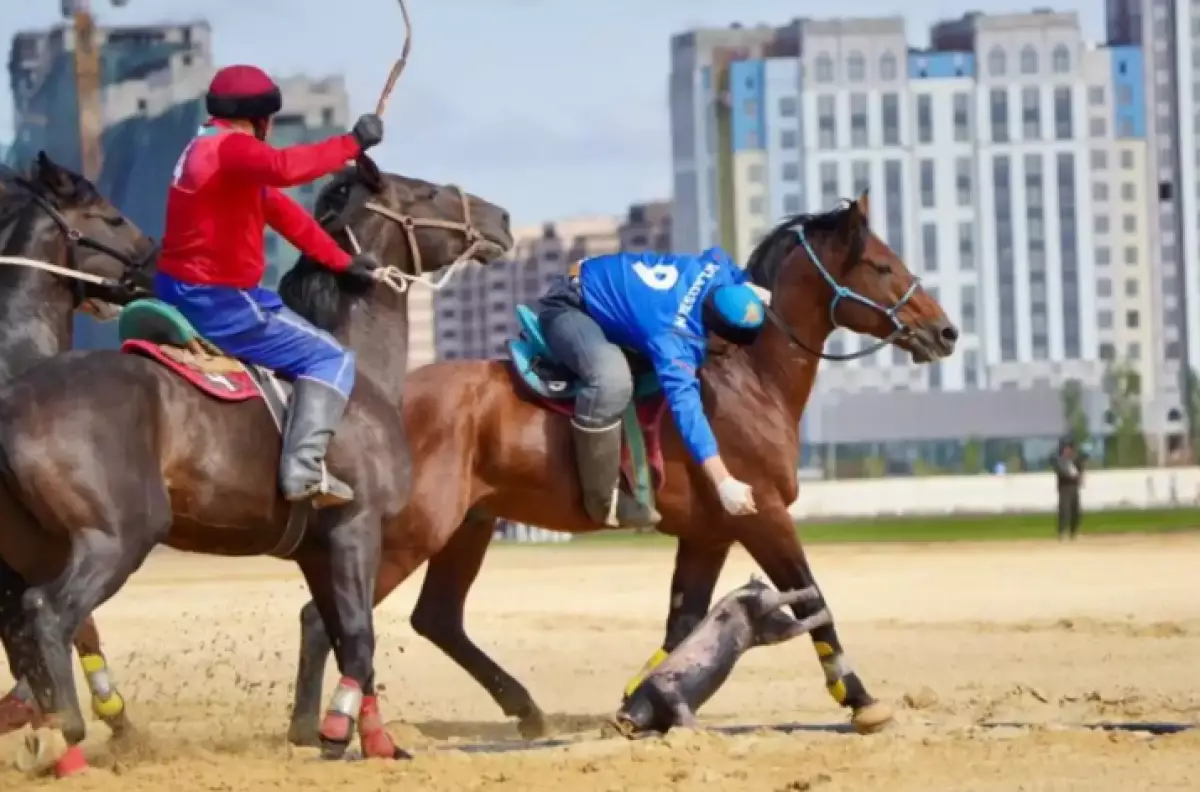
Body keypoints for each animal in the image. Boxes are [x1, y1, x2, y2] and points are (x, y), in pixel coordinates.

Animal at [280, 190, 955, 744]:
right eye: (882, 265)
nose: (945, 330)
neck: (745, 376)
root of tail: (370, 395)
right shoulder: (761, 515)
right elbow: (816, 600)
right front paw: (861, 700)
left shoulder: (708, 536)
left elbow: (682, 625)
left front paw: (642, 704)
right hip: (412, 530)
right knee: (325, 616)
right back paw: (317, 727)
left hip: (467, 527)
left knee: (435, 618)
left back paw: (523, 709)